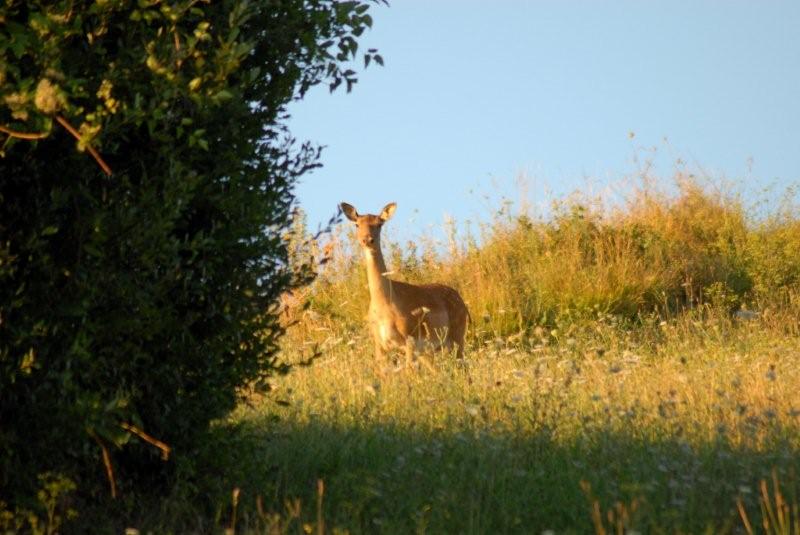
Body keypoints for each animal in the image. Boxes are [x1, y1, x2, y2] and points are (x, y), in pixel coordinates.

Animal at [338, 201, 468, 364]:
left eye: (379, 224)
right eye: (356, 224)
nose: (367, 240)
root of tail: (463, 303)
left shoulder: (409, 339)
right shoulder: (379, 344)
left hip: (457, 337)